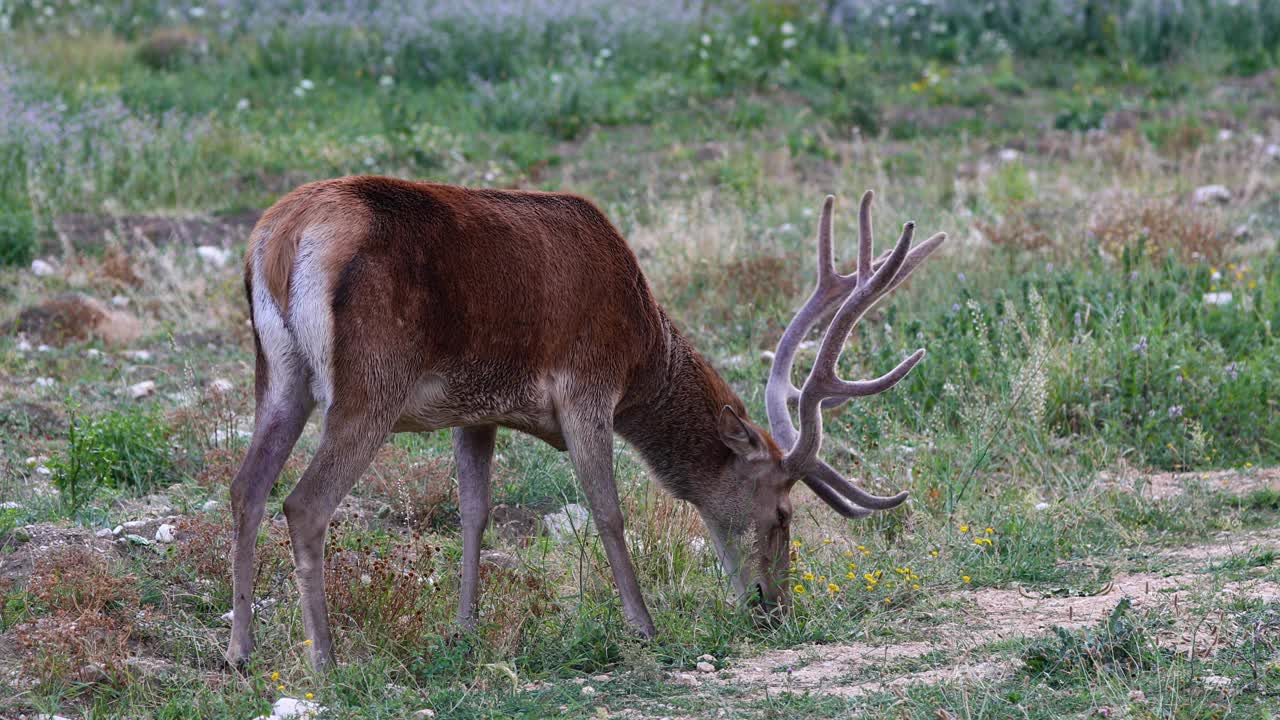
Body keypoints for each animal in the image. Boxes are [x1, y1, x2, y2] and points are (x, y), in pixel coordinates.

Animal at [225, 176, 947, 671]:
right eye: (783, 514)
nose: (774, 606)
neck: (642, 350)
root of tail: (277, 240)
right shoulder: (587, 386)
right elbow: (608, 510)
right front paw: (643, 625)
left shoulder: (476, 411)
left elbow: (474, 512)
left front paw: (465, 629)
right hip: (369, 383)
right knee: (304, 503)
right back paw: (325, 659)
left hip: (279, 375)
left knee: (246, 489)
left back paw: (240, 650)